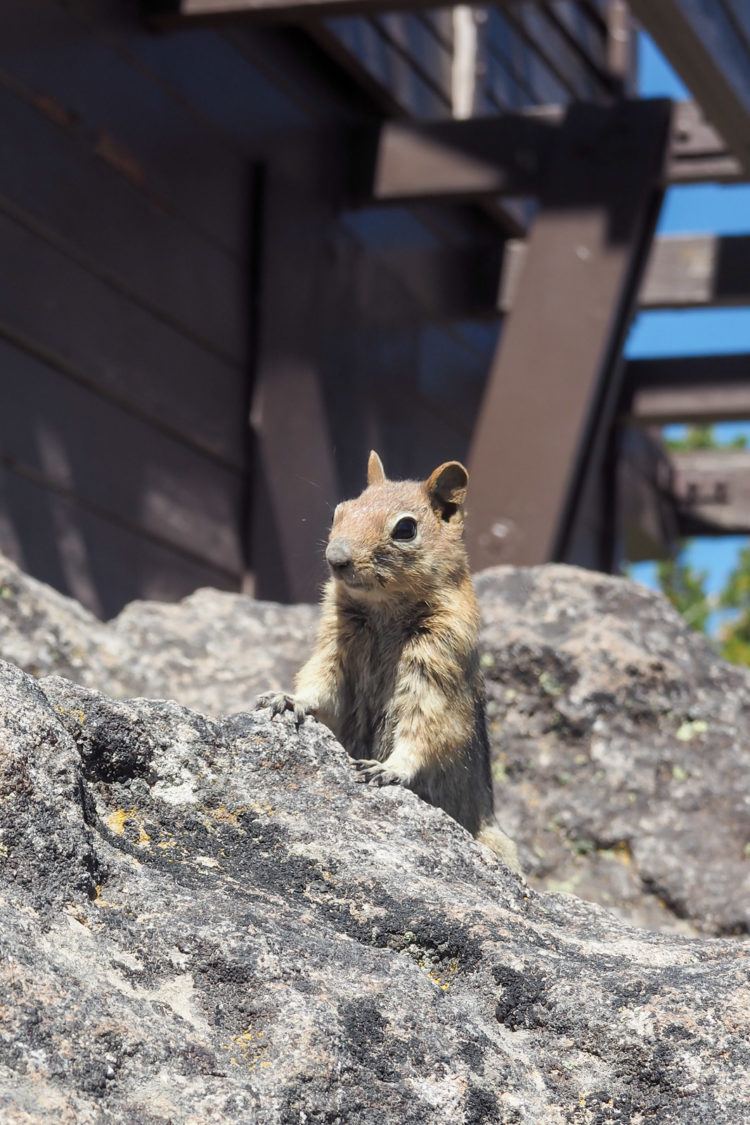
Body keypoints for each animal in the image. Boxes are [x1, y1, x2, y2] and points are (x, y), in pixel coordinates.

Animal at [256, 454, 517, 868]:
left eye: (406, 528)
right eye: (340, 510)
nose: (336, 558)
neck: (384, 611)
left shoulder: (436, 665)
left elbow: (427, 727)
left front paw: (389, 768)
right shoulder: (335, 649)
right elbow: (322, 688)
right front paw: (288, 699)